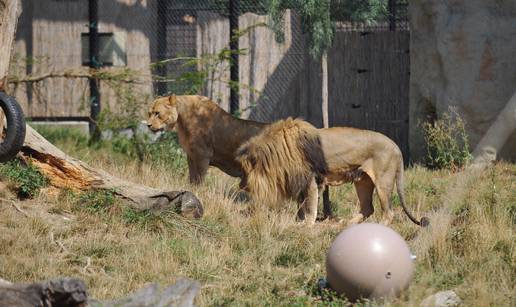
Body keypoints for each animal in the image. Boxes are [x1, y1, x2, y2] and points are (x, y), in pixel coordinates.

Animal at [236, 119, 430, 227]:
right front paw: (298, 221)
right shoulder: (299, 182)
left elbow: (310, 206)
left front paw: (307, 224)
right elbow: (300, 206)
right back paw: (346, 224)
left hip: (383, 181)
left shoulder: (311, 181)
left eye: (244, 172)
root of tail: (396, 146)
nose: (241, 186)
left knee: (388, 212)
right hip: (362, 182)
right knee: (368, 208)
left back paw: (379, 226)